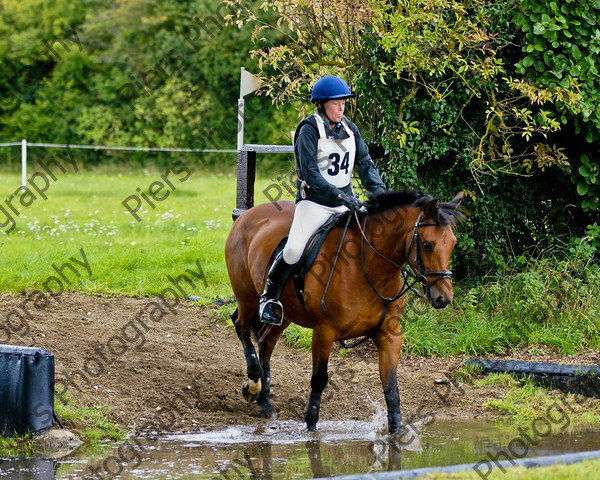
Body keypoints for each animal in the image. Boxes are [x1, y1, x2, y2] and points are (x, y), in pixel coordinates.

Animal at [225, 189, 464, 434]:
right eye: (427, 244)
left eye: (453, 243)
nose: (444, 297)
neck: (367, 267)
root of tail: (248, 214)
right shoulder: (324, 333)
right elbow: (319, 380)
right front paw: (311, 427)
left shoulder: (388, 335)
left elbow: (391, 388)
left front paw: (396, 431)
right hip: (247, 298)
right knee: (241, 325)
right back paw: (253, 383)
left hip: (284, 314)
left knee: (265, 342)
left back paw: (265, 402)